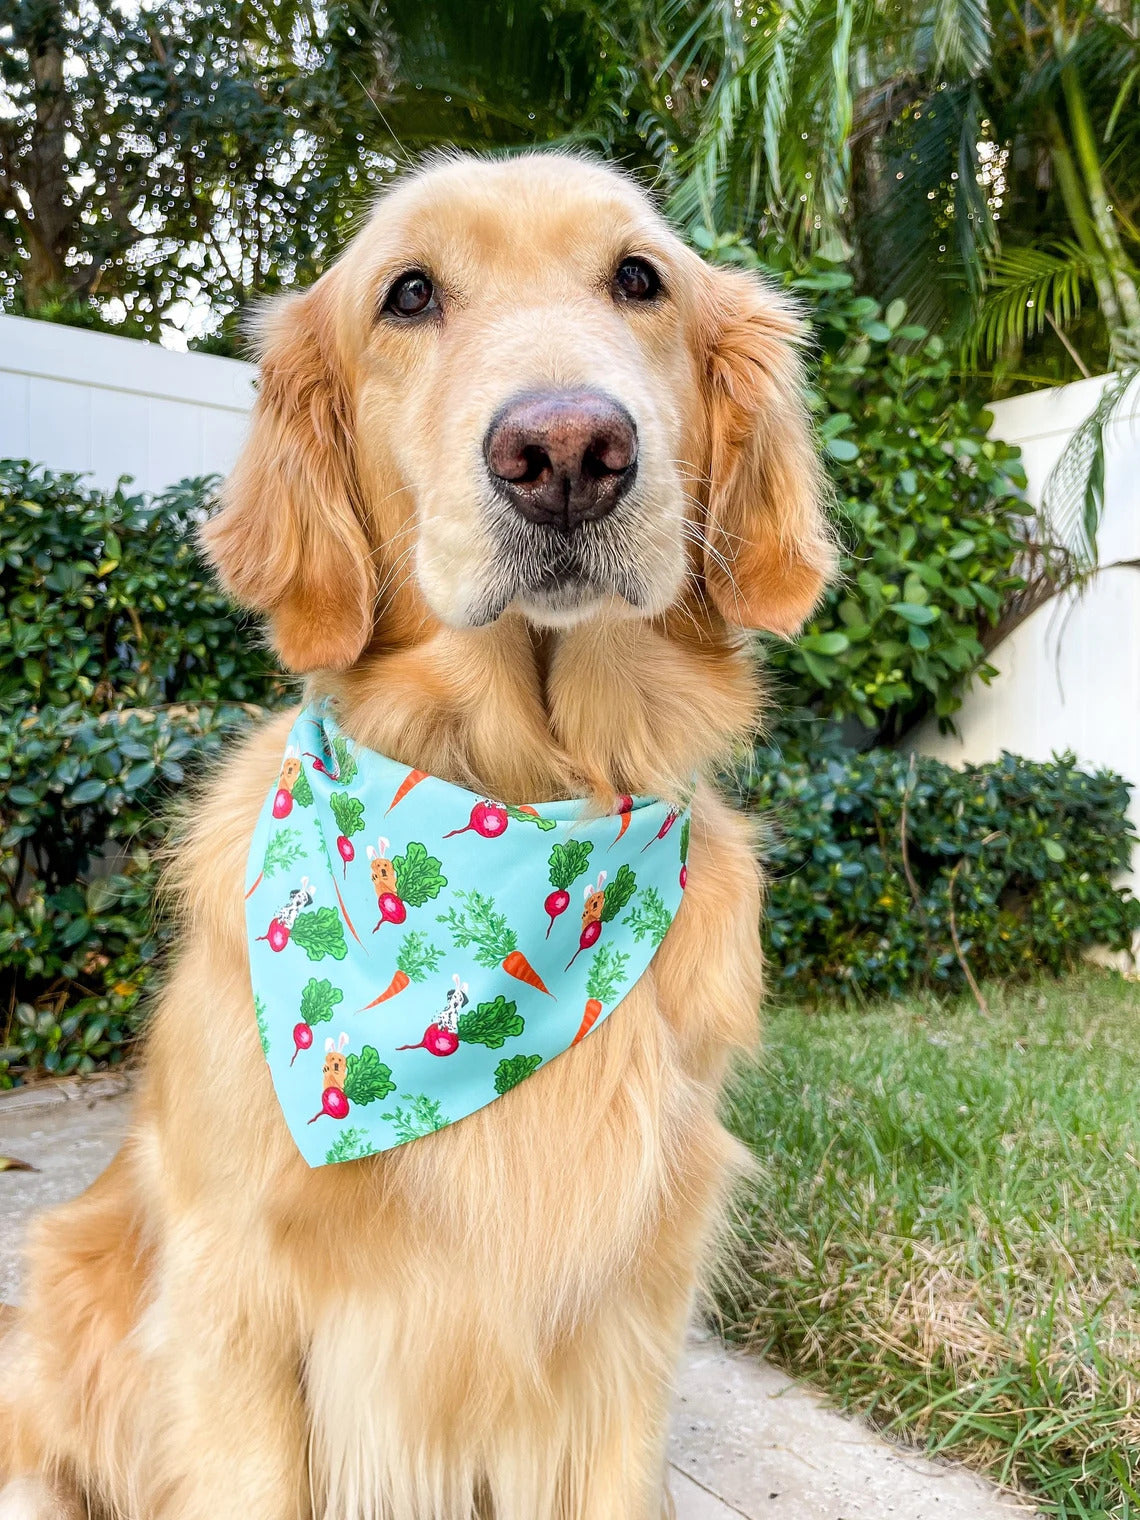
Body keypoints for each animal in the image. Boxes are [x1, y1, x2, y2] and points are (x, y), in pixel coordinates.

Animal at [2, 154, 839, 1520]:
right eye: (408, 294)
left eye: (639, 278)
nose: (569, 451)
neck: (515, 801)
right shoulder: (237, 1306)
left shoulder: (630, 1325)